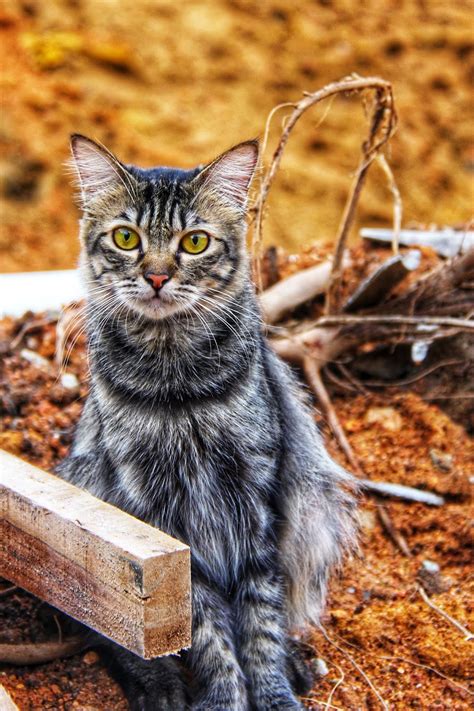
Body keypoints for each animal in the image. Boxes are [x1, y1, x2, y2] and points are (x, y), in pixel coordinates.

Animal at [58, 135, 356, 711]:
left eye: (194, 242)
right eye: (126, 238)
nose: (156, 276)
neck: (180, 395)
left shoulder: (258, 503)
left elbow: (261, 623)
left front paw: (274, 694)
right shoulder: (164, 522)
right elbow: (209, 633)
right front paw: (224, 699)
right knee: (120, 644)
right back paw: (161, 688)